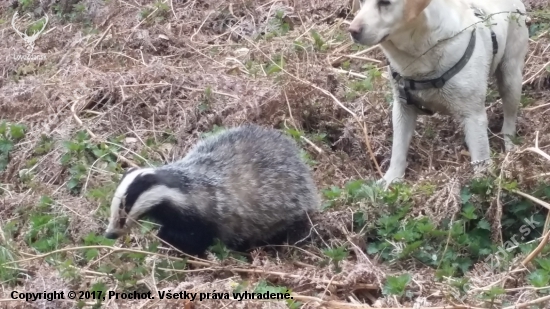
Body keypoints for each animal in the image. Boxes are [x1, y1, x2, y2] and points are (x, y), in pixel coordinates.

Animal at [352, 0, 532, 185]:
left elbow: (480, 156)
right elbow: (398, 148)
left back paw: (510, 147)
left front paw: (481, 183)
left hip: (511, 77)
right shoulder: (402, 107)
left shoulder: (474, 115)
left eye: (385, 2)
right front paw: (391, 179)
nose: (352, 30)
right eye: (361, 2)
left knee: (509, 118)